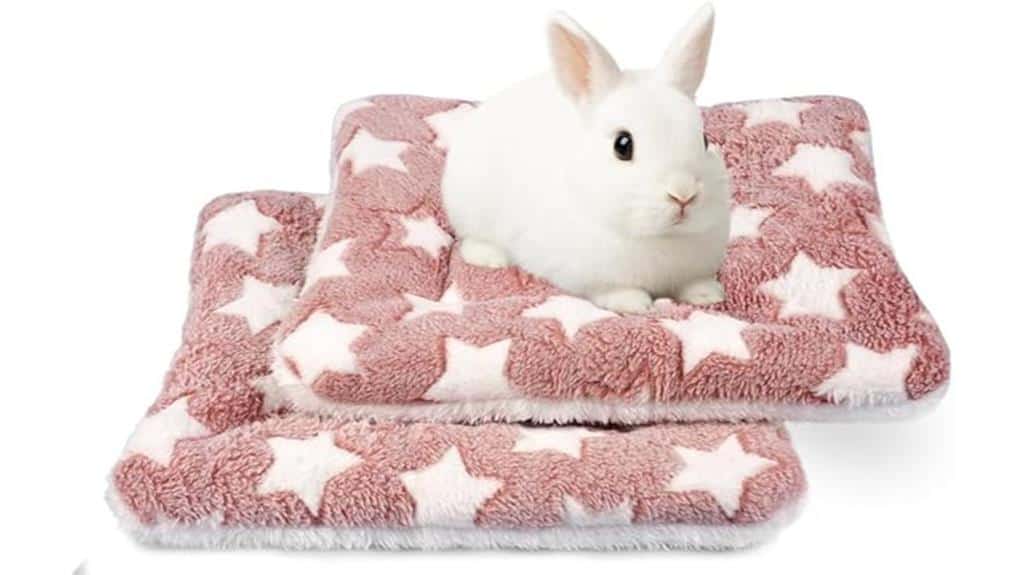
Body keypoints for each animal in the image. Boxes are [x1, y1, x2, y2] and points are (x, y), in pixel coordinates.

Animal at [441, 4, 730, 313]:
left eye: (704, 140)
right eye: (622, 145)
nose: (683, 194)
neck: (660, 238)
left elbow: (694, 284)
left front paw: (709, 295)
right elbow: (615, 291)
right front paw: (634, 304)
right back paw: (492, 259)